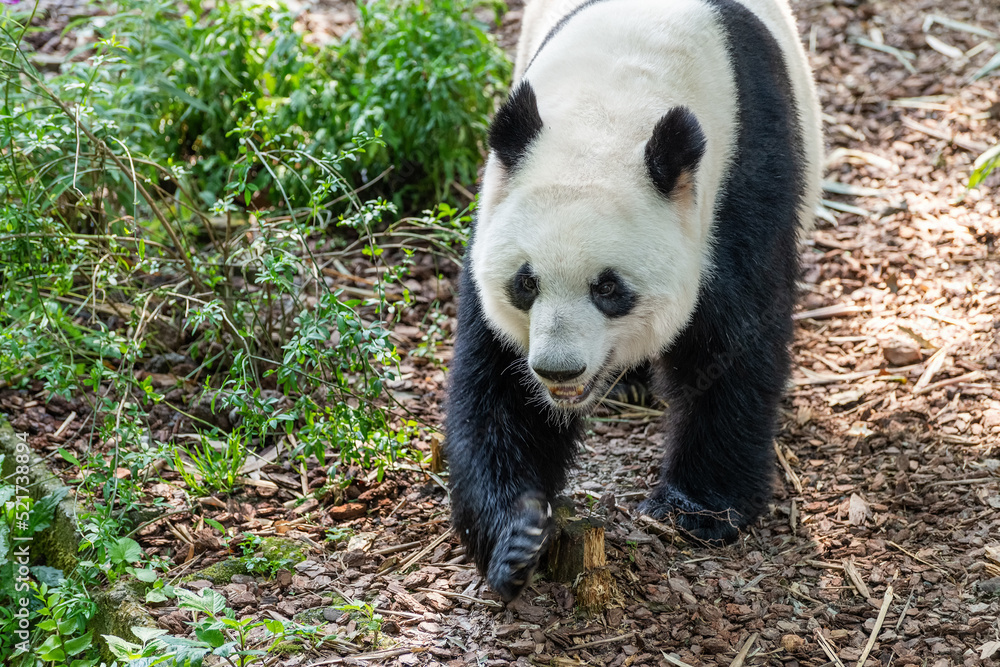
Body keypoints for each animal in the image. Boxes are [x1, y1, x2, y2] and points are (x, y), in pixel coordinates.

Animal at [444, 0, 820, 604]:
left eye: (608, 288)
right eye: (526, 284)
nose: (559, 369)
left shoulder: (741, 181)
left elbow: (731, 345)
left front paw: (699, 510)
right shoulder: (498, 206)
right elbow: (499, 384)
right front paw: (518, 537)